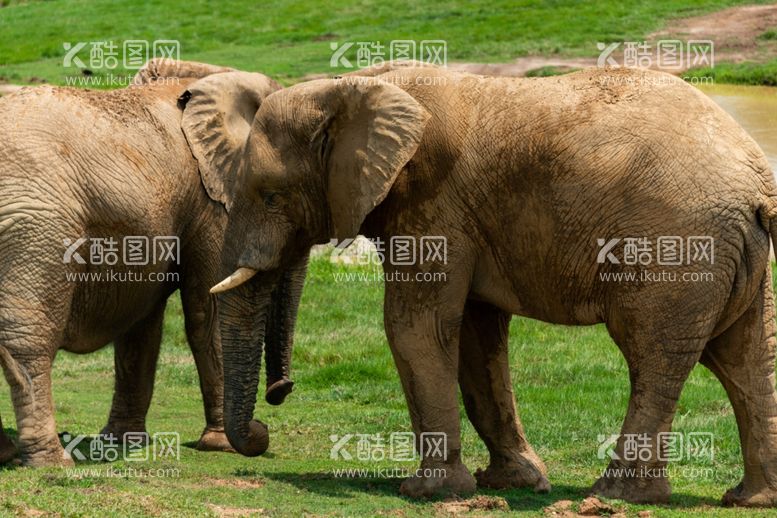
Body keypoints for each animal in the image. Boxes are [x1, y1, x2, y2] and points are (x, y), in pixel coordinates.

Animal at [0, 59, 300, 470]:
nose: (281, 391)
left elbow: (142, 325)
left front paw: (122, 441)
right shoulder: (212, 199)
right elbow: (208, 311)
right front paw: (221, 445)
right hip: (36, 226)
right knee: (30, 340)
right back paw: (52, 462)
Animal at [205, 64, 777, 508]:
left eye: (272, 195)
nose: (272, 411)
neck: (353, 85)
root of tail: (755, 181)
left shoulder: (432, 203)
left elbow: (415, 327)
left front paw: (427, 492)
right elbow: (476, 337)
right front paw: (514, 483)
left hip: (676, 249)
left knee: (652, 356)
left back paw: (616, 495)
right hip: (733, 255)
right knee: (744, 359)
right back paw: (747, 498)